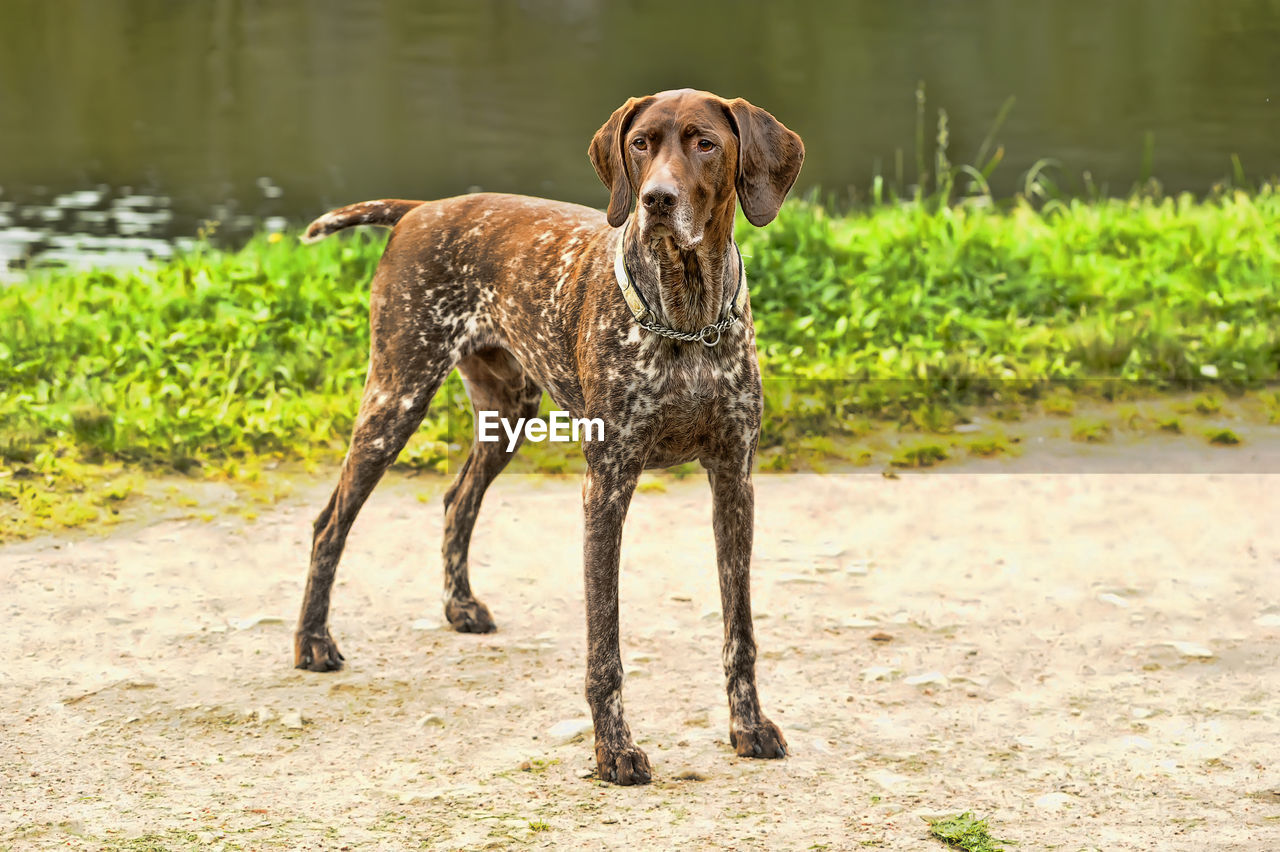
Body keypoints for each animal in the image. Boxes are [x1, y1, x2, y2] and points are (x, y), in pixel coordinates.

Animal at [294, 87, 803, 782]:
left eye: (706, 143)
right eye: (640, 143)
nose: (656, 200)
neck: (686, 317)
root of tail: (421, 210)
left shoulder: (733, 482)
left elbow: (740, 633)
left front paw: (747, 726)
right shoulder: (606, 487)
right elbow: (604, 647)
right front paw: (614, 751)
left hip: (507, 411)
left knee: (458, 499)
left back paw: (459, 606)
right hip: (396, 399)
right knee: (331, 523)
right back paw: (313, 642)